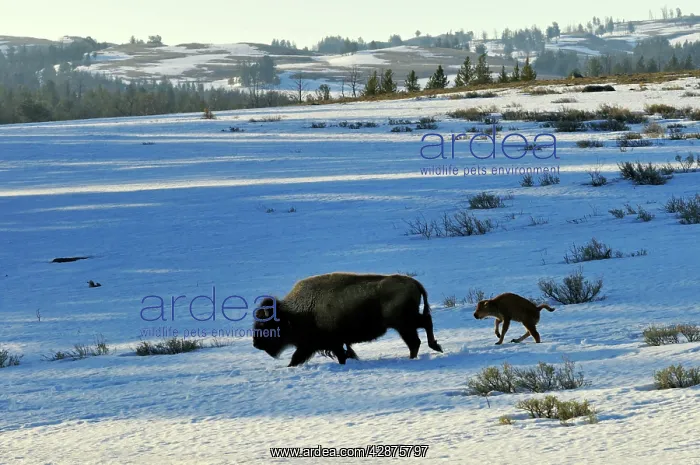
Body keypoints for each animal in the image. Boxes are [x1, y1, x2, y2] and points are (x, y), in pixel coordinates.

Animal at [252, 272, 443, 367]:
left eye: (264, 323)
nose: (256, 343)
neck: (295, 312)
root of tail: (414, 283)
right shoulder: (319, 345)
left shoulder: (326, 343)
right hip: (405, 323)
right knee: (424, 327)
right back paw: (434, 348)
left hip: (402, 324)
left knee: (416, 339)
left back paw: (422, 353)